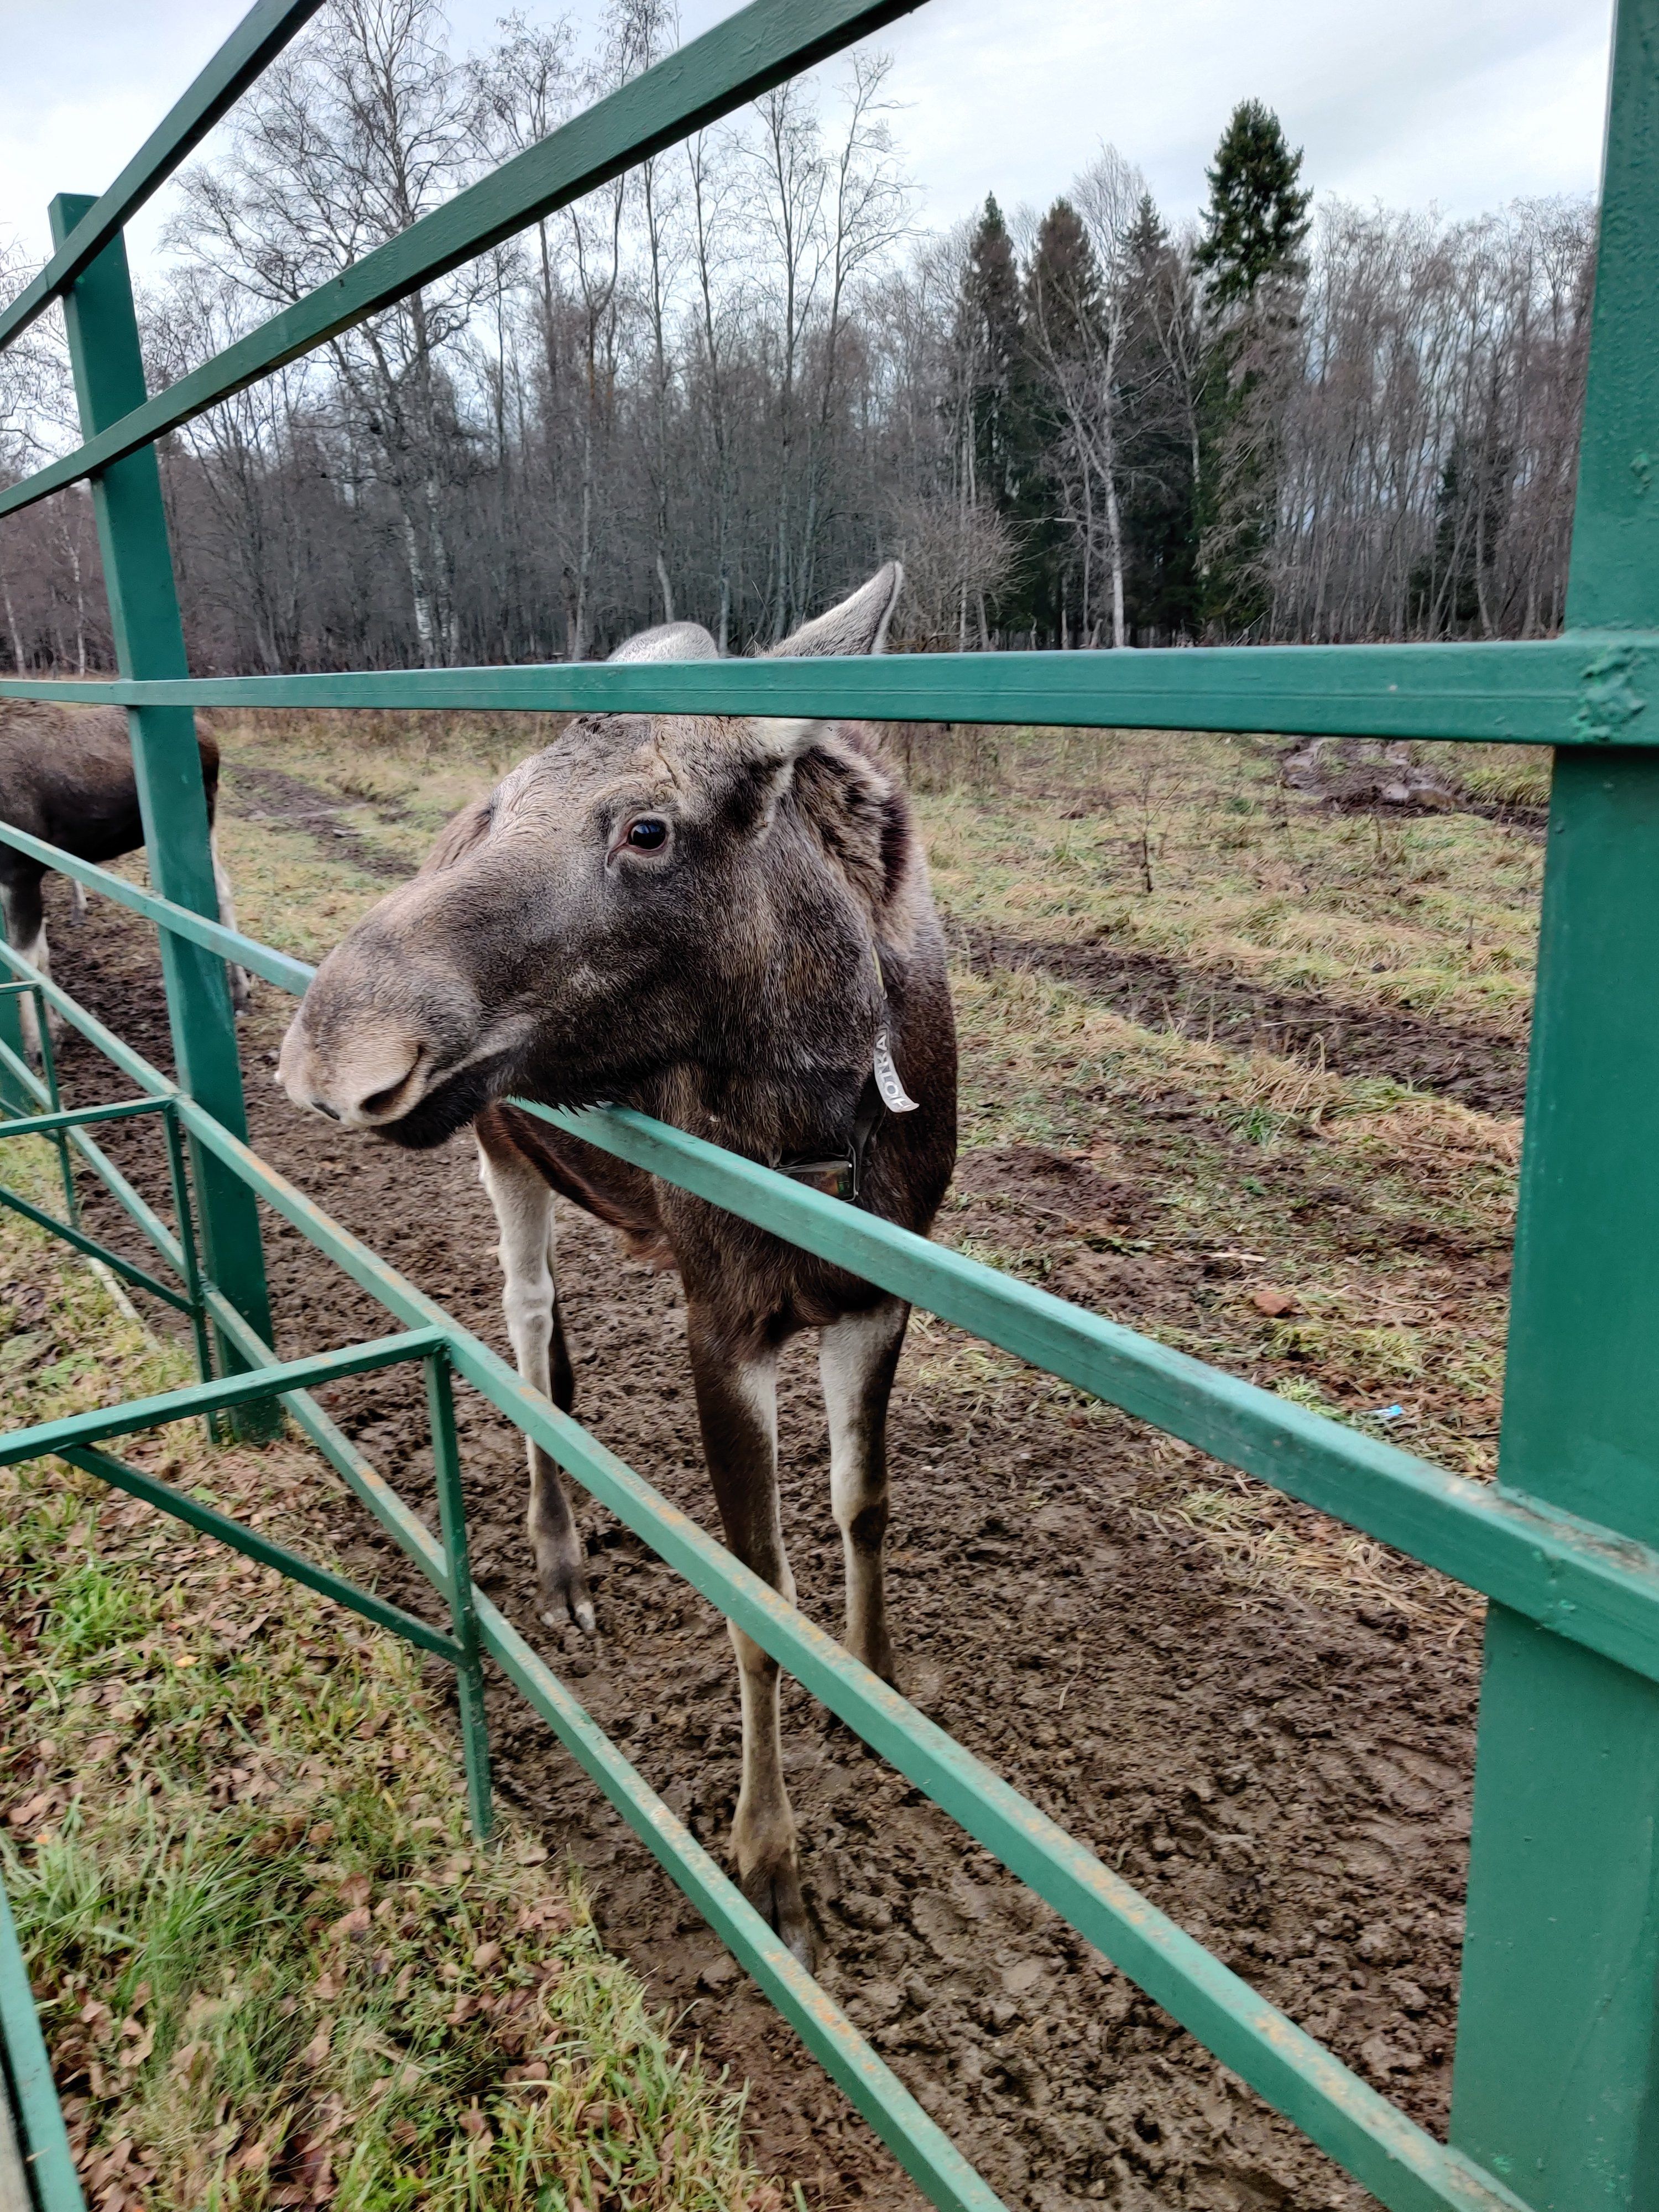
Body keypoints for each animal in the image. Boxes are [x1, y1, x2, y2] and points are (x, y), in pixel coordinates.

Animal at [0, 708, 249, 1053]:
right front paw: (55, 1026)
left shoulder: (20, 870)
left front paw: (37, 1044)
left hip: (201, 822)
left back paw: (239, 992)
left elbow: (22, 959)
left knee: (221, 889)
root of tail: (207, 730)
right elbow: (40, 954)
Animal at [283, 566, 960, 1955]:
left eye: (647, 828)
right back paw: (559, 1562)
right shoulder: (722, 1319)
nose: (331, 1047)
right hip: (502, 1148)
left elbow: (862, 1506)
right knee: (527, 1327)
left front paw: (875, 1688)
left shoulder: (879, 1296)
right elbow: (754, 1592)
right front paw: (769, 1857)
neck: (828, 1114)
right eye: (512, 806)